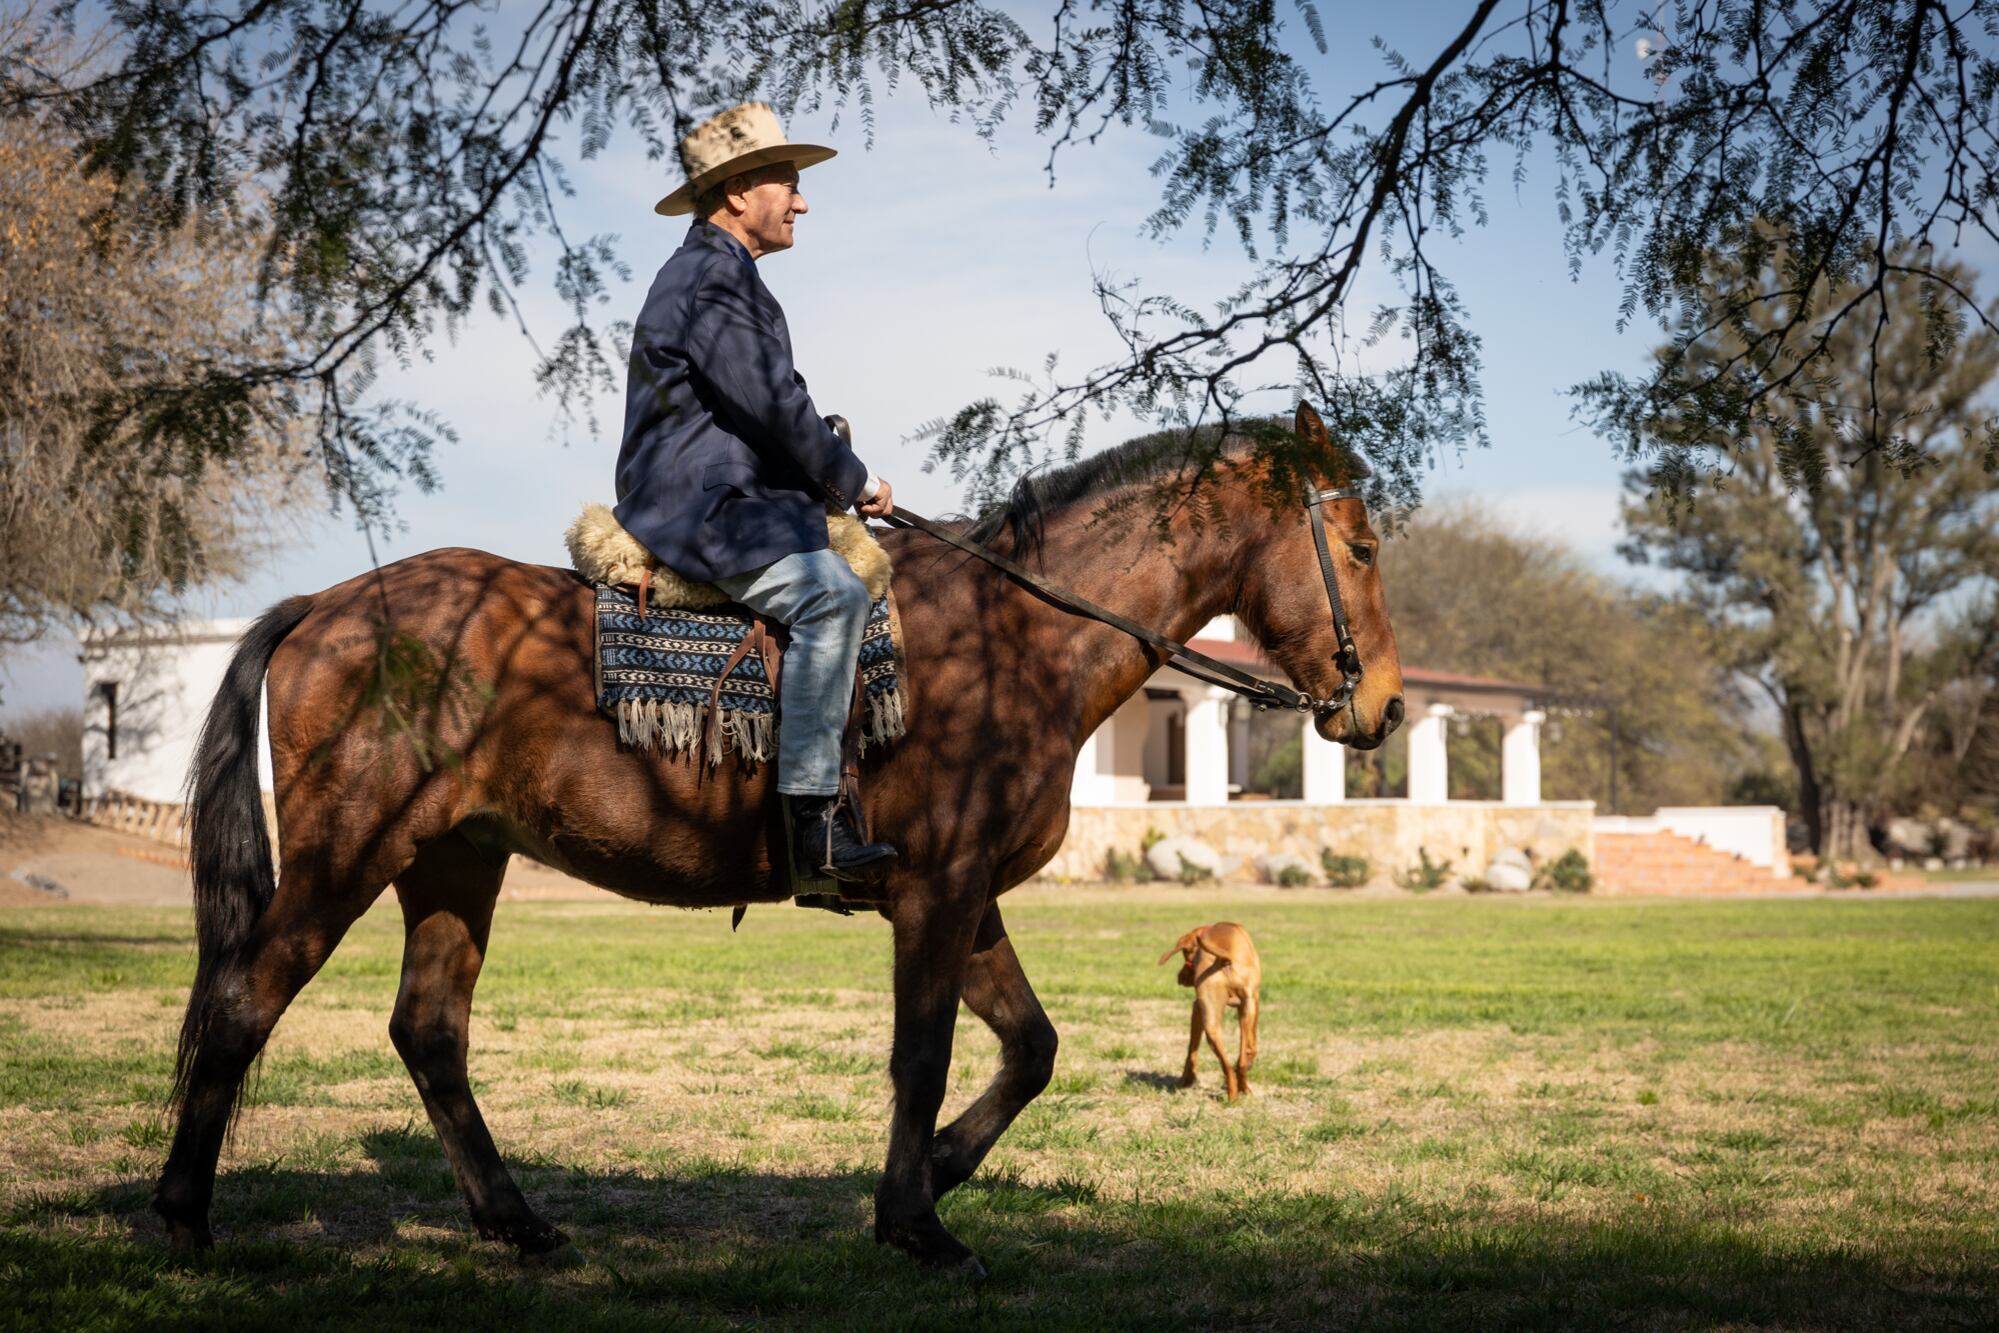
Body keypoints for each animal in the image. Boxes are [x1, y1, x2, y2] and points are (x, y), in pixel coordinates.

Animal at [153, 403, 1406, 1278]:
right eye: (1358, 547)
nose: (1387, 708)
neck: (1016, 640)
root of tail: (320, 605)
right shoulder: (938, 894)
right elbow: (925, 1055)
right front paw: (917, 1223)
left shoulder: (965, 899)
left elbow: (1030, 1048)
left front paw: (932, 1176)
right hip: (345, 857)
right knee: (245, 1003)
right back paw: (183, 1221)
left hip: (455, 861)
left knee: (429, 1031)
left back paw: (516, 1222)